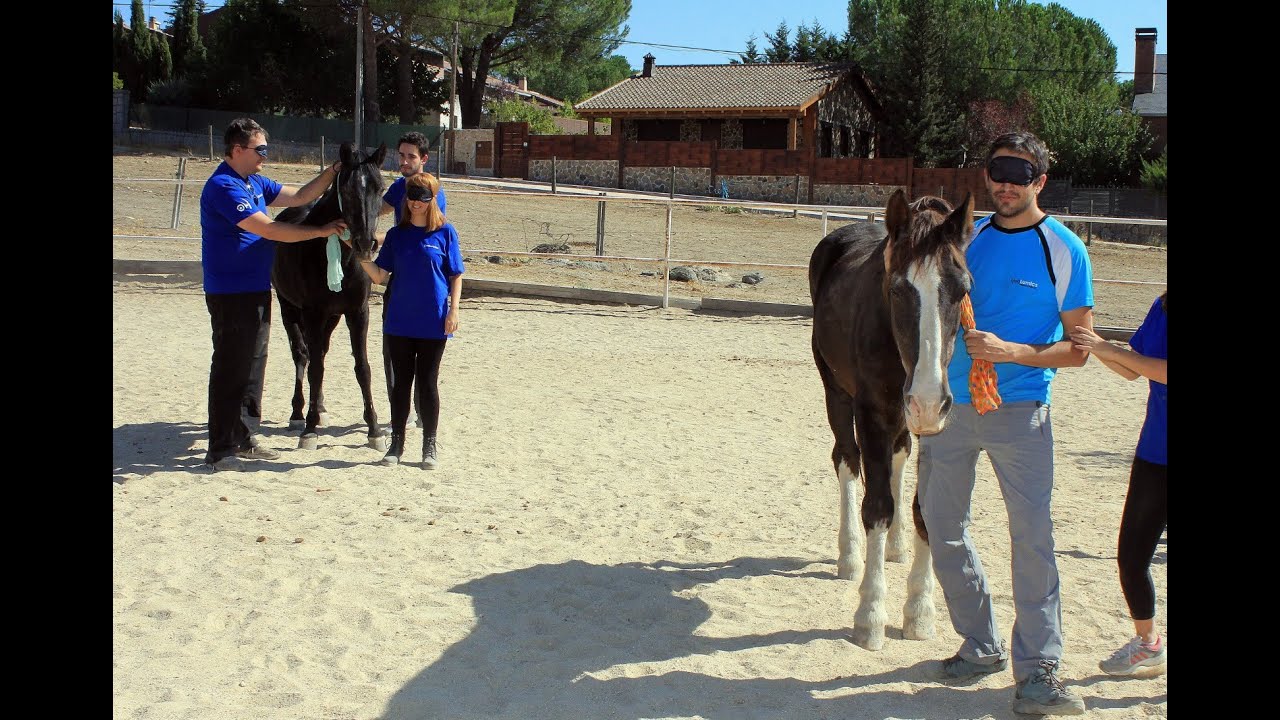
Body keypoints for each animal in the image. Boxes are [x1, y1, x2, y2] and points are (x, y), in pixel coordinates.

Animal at [271, 141, 389, 451]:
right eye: (346, 189)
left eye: (380, 188)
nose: (365, 243)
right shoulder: (312, 313)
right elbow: (314, 367)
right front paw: (309, 430)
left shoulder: (357, 312)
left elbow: (363, 368)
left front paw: (374, 430)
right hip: (289, 309)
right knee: (302, 355)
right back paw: (299, 413)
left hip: (332, 317)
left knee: (319, 352)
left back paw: (320, 406)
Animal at [808, 189, 974, 651]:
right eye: (898, 290)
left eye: (963, 289)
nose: (928, 400)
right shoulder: (871, 414)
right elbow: (877, 506)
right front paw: (870, 615)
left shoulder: (937, 426)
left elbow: (923, 509)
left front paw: (920, 613)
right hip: (837, 393)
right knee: (846, 460)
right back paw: (850, 555)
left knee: (899, 455)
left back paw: (897, 546)